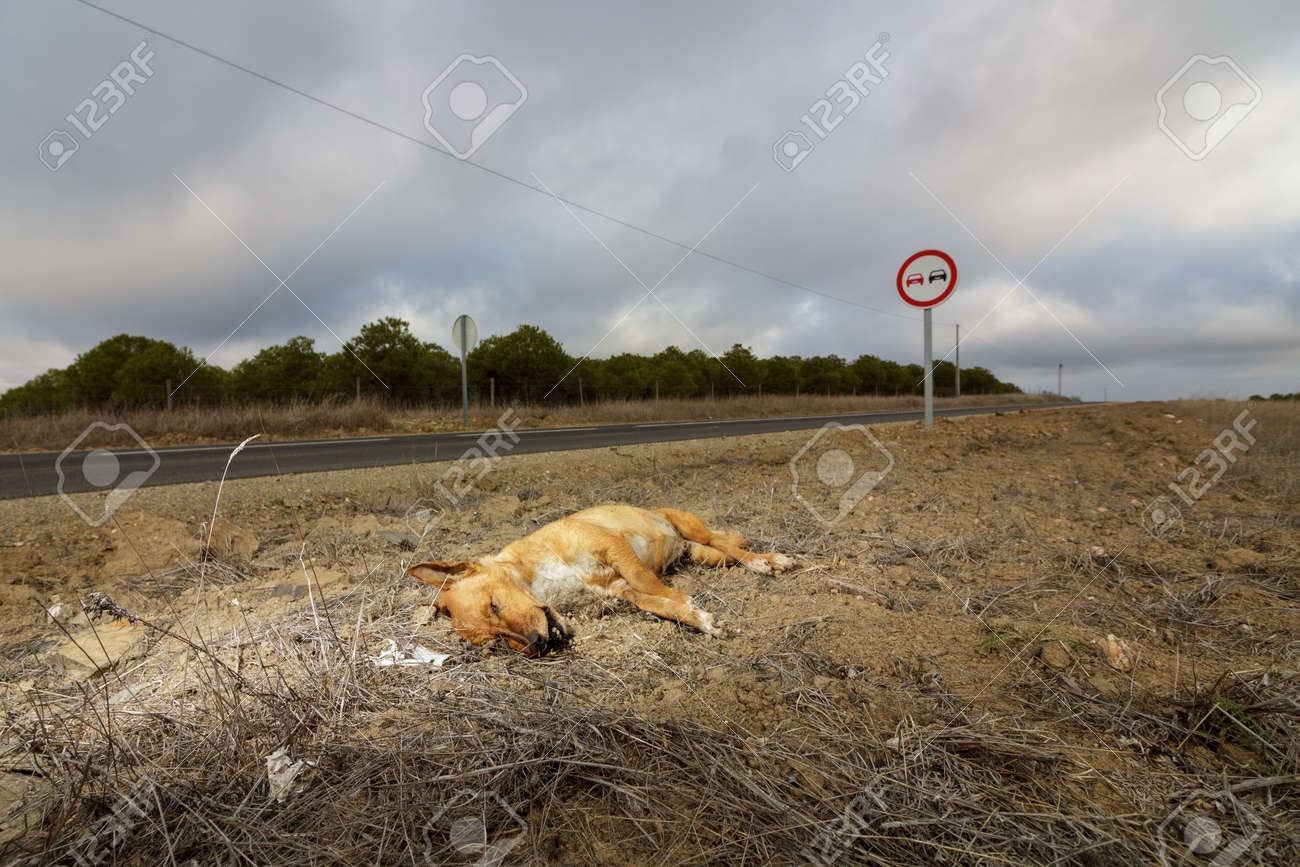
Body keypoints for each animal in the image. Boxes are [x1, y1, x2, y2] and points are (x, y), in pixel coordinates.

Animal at [405, 504, 790, 655]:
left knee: (731, 545)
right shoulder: (618, 589)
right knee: (727, 551)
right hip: (704, 556)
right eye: (495, 643)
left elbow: (648, 581)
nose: (538, 644)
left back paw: (766, 561)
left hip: (691, 527)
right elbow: (655, 602)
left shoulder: (611, 546)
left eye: (494, 605)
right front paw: (696, 617)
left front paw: (685, 602)